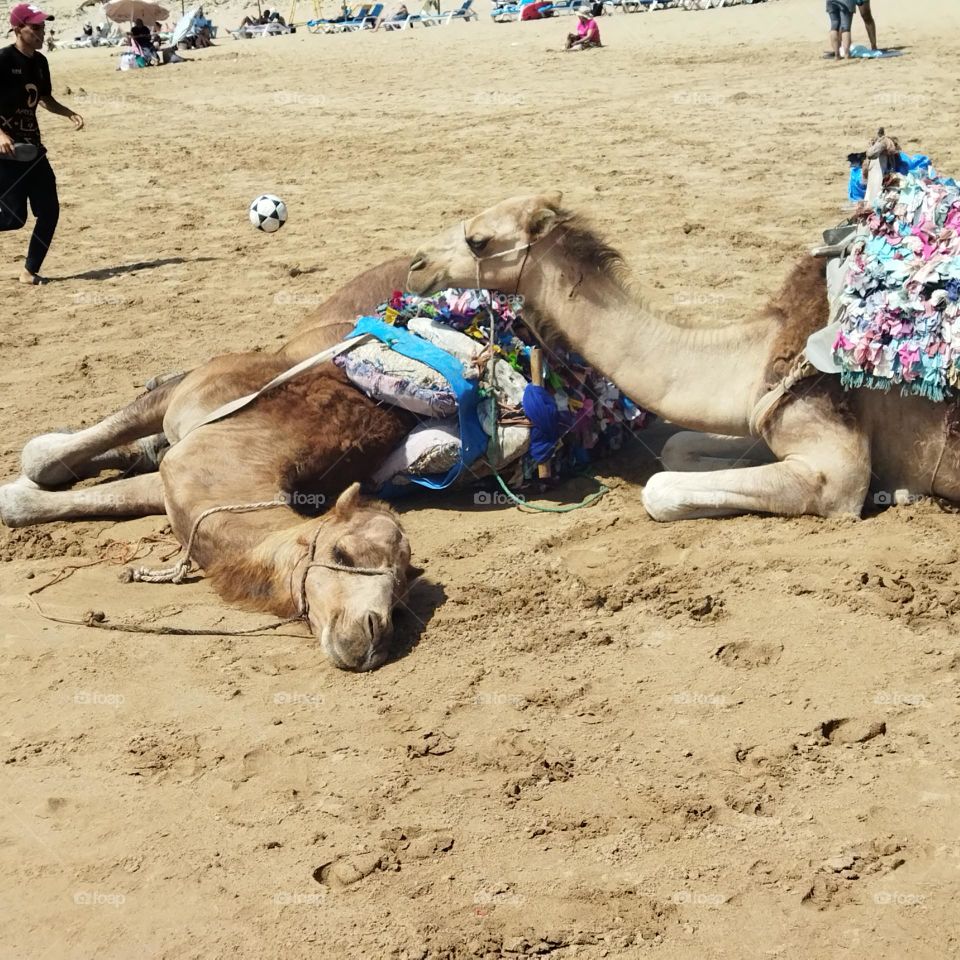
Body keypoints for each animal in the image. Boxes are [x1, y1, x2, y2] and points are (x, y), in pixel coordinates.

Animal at [404, 189, 960, 516]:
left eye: (478, 240)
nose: (414, 265)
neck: (758, 353)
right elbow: (676, 447)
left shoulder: (836, 473)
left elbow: (661, 489)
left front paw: (901, 489)